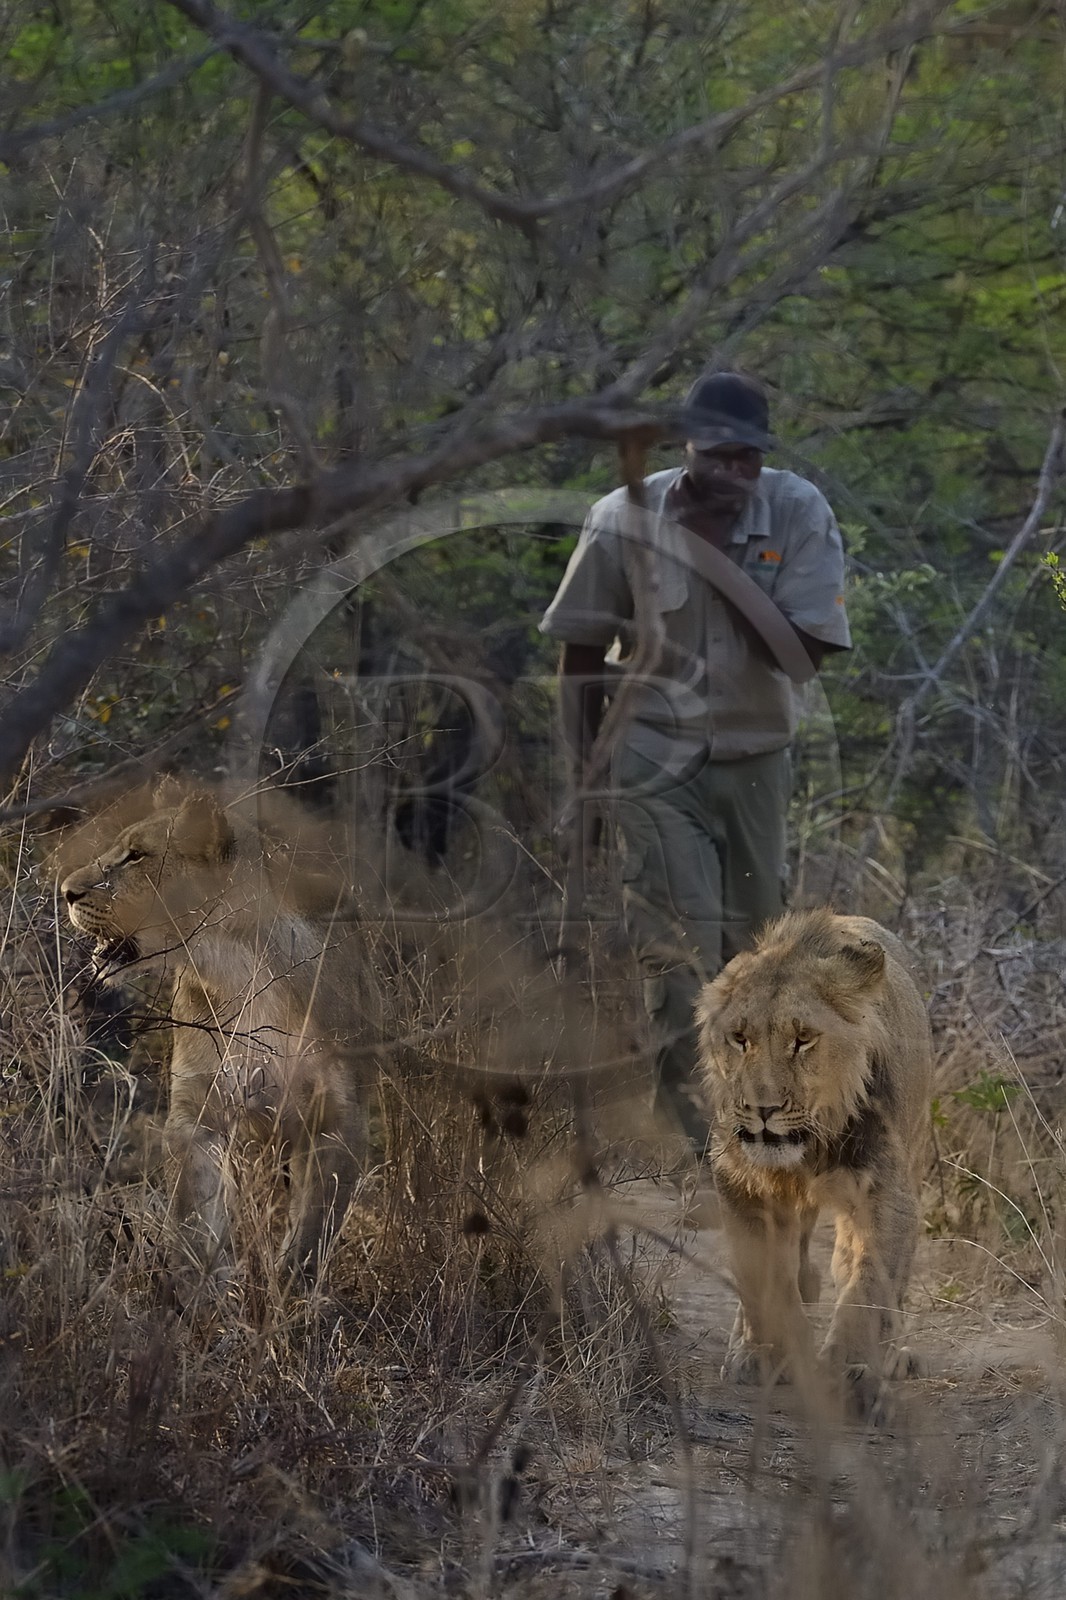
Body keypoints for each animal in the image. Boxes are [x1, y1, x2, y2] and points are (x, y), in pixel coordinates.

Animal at [59, 780, 379, 1283]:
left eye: (135, 855)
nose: (66, 892)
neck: (237, 967)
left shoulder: (340, 1117)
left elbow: (314, 1228)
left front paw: (291, 1290)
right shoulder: (197, 1111)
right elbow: (197, 1219)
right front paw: (210, 1288)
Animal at [696, 907, 933, 1413]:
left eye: (803, 1040)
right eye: (739, 1039)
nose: (762, 1109)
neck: (812, 1143)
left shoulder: (886, 1191)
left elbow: (868, 1285)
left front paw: (850, 1374)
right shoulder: (740, 1182)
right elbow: (763, 1275)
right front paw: (765, 1355)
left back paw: (894, 1356)